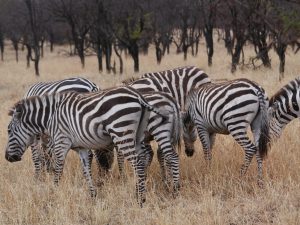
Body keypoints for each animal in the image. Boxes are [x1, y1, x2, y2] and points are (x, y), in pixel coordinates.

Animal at [4, 85, 165, 204]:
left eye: (9, 131)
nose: (7, 157)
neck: (50, 117)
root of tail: (138, 96)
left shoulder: (61, 142)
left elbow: (58, 170)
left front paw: (53, 195)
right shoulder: (80, 147)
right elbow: (86, 170)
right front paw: (93, 196)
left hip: (121, 132)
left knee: (137, 162)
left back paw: (140, 199)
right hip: (137, 135)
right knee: (143, 158)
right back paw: (138, 192)